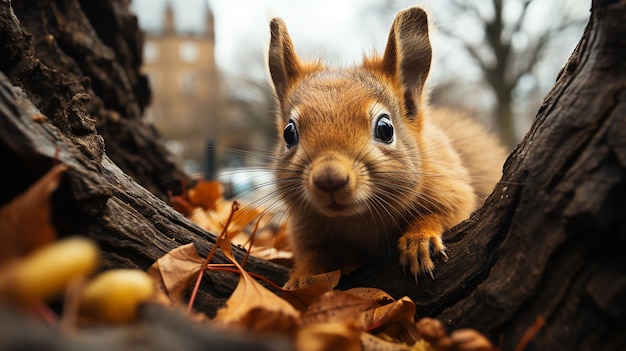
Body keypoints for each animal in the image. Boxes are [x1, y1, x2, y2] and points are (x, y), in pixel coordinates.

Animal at [266, 7, 504, 288]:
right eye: (288, 133)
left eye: (385, 129)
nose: (329, 179)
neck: (361, 219)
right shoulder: (306, 227)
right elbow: (314, 254)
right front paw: (301, 278)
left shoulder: (451, 187)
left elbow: (444, 213)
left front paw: (419, 241)